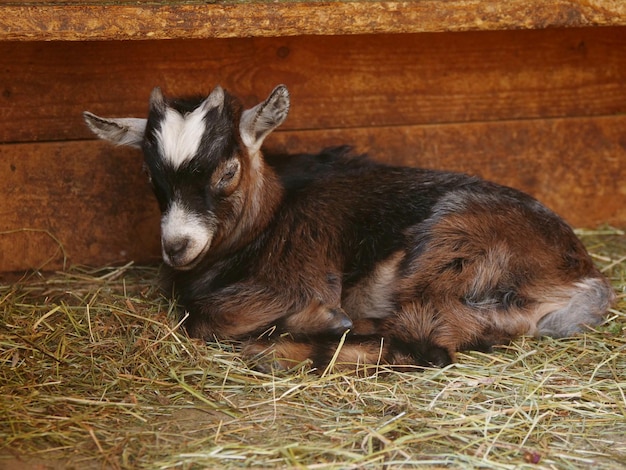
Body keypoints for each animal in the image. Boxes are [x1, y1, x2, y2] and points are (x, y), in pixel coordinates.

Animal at [84, 83, 616, 370]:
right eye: (150, 175)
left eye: (228, 171)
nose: (176, 245)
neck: (271, 217)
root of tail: (585, 280)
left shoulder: (298, 271)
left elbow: (203, 316)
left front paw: (315, 321)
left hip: (448, 248)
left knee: (427, 347)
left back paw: (295, 344)